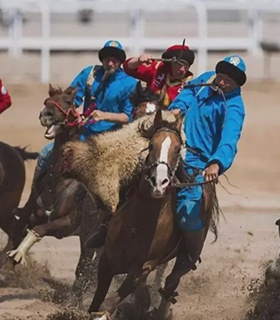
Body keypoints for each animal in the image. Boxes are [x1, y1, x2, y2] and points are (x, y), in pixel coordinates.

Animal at [87, 109, 219, 318]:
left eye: (177, 149)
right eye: (151, 145)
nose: (159, 182)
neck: (137, 224)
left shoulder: (143, 268)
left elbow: (109, 302)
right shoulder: (107, 260)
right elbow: (97, 301)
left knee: (172, 282)